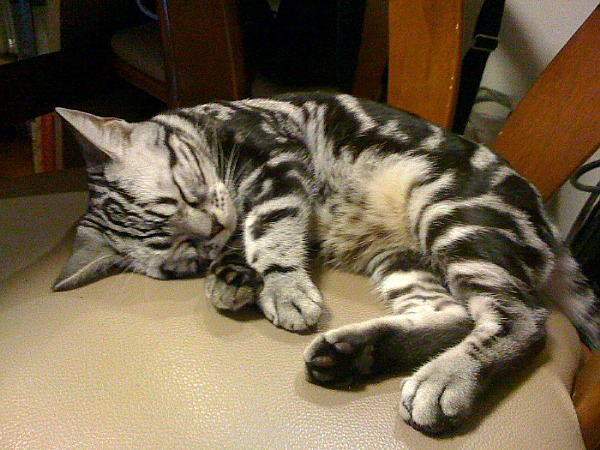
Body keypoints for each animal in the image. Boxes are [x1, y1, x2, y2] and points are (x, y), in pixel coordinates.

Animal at [54, 92, 599, 434]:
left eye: (185, 194)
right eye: (182, 254)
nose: (210, 231)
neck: (209, 126)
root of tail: (551, 223)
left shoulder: (277, 162)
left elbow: (268, 230)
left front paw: (281, 286)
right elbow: (246, 239)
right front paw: (231, 277)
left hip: (451, 212)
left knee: (521, 320)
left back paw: (446, 379)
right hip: (403, 259)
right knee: (453, 315)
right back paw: (356, 353)